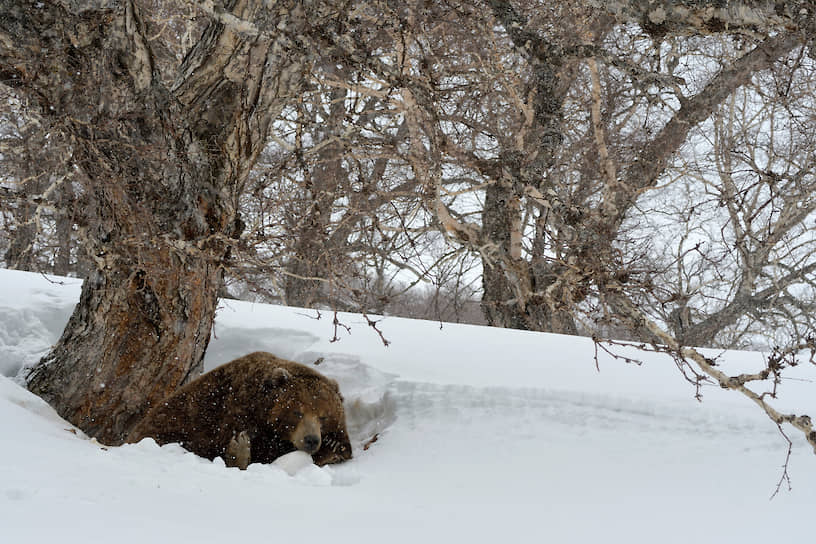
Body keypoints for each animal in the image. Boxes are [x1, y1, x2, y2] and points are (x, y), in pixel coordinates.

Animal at [126, 352, 350, 468]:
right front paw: (240, 448)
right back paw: (239, 450)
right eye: (297, 412)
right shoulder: (235, 413)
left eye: (323, 416)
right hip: (169, 428)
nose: (311, 440)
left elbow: (339, 446)